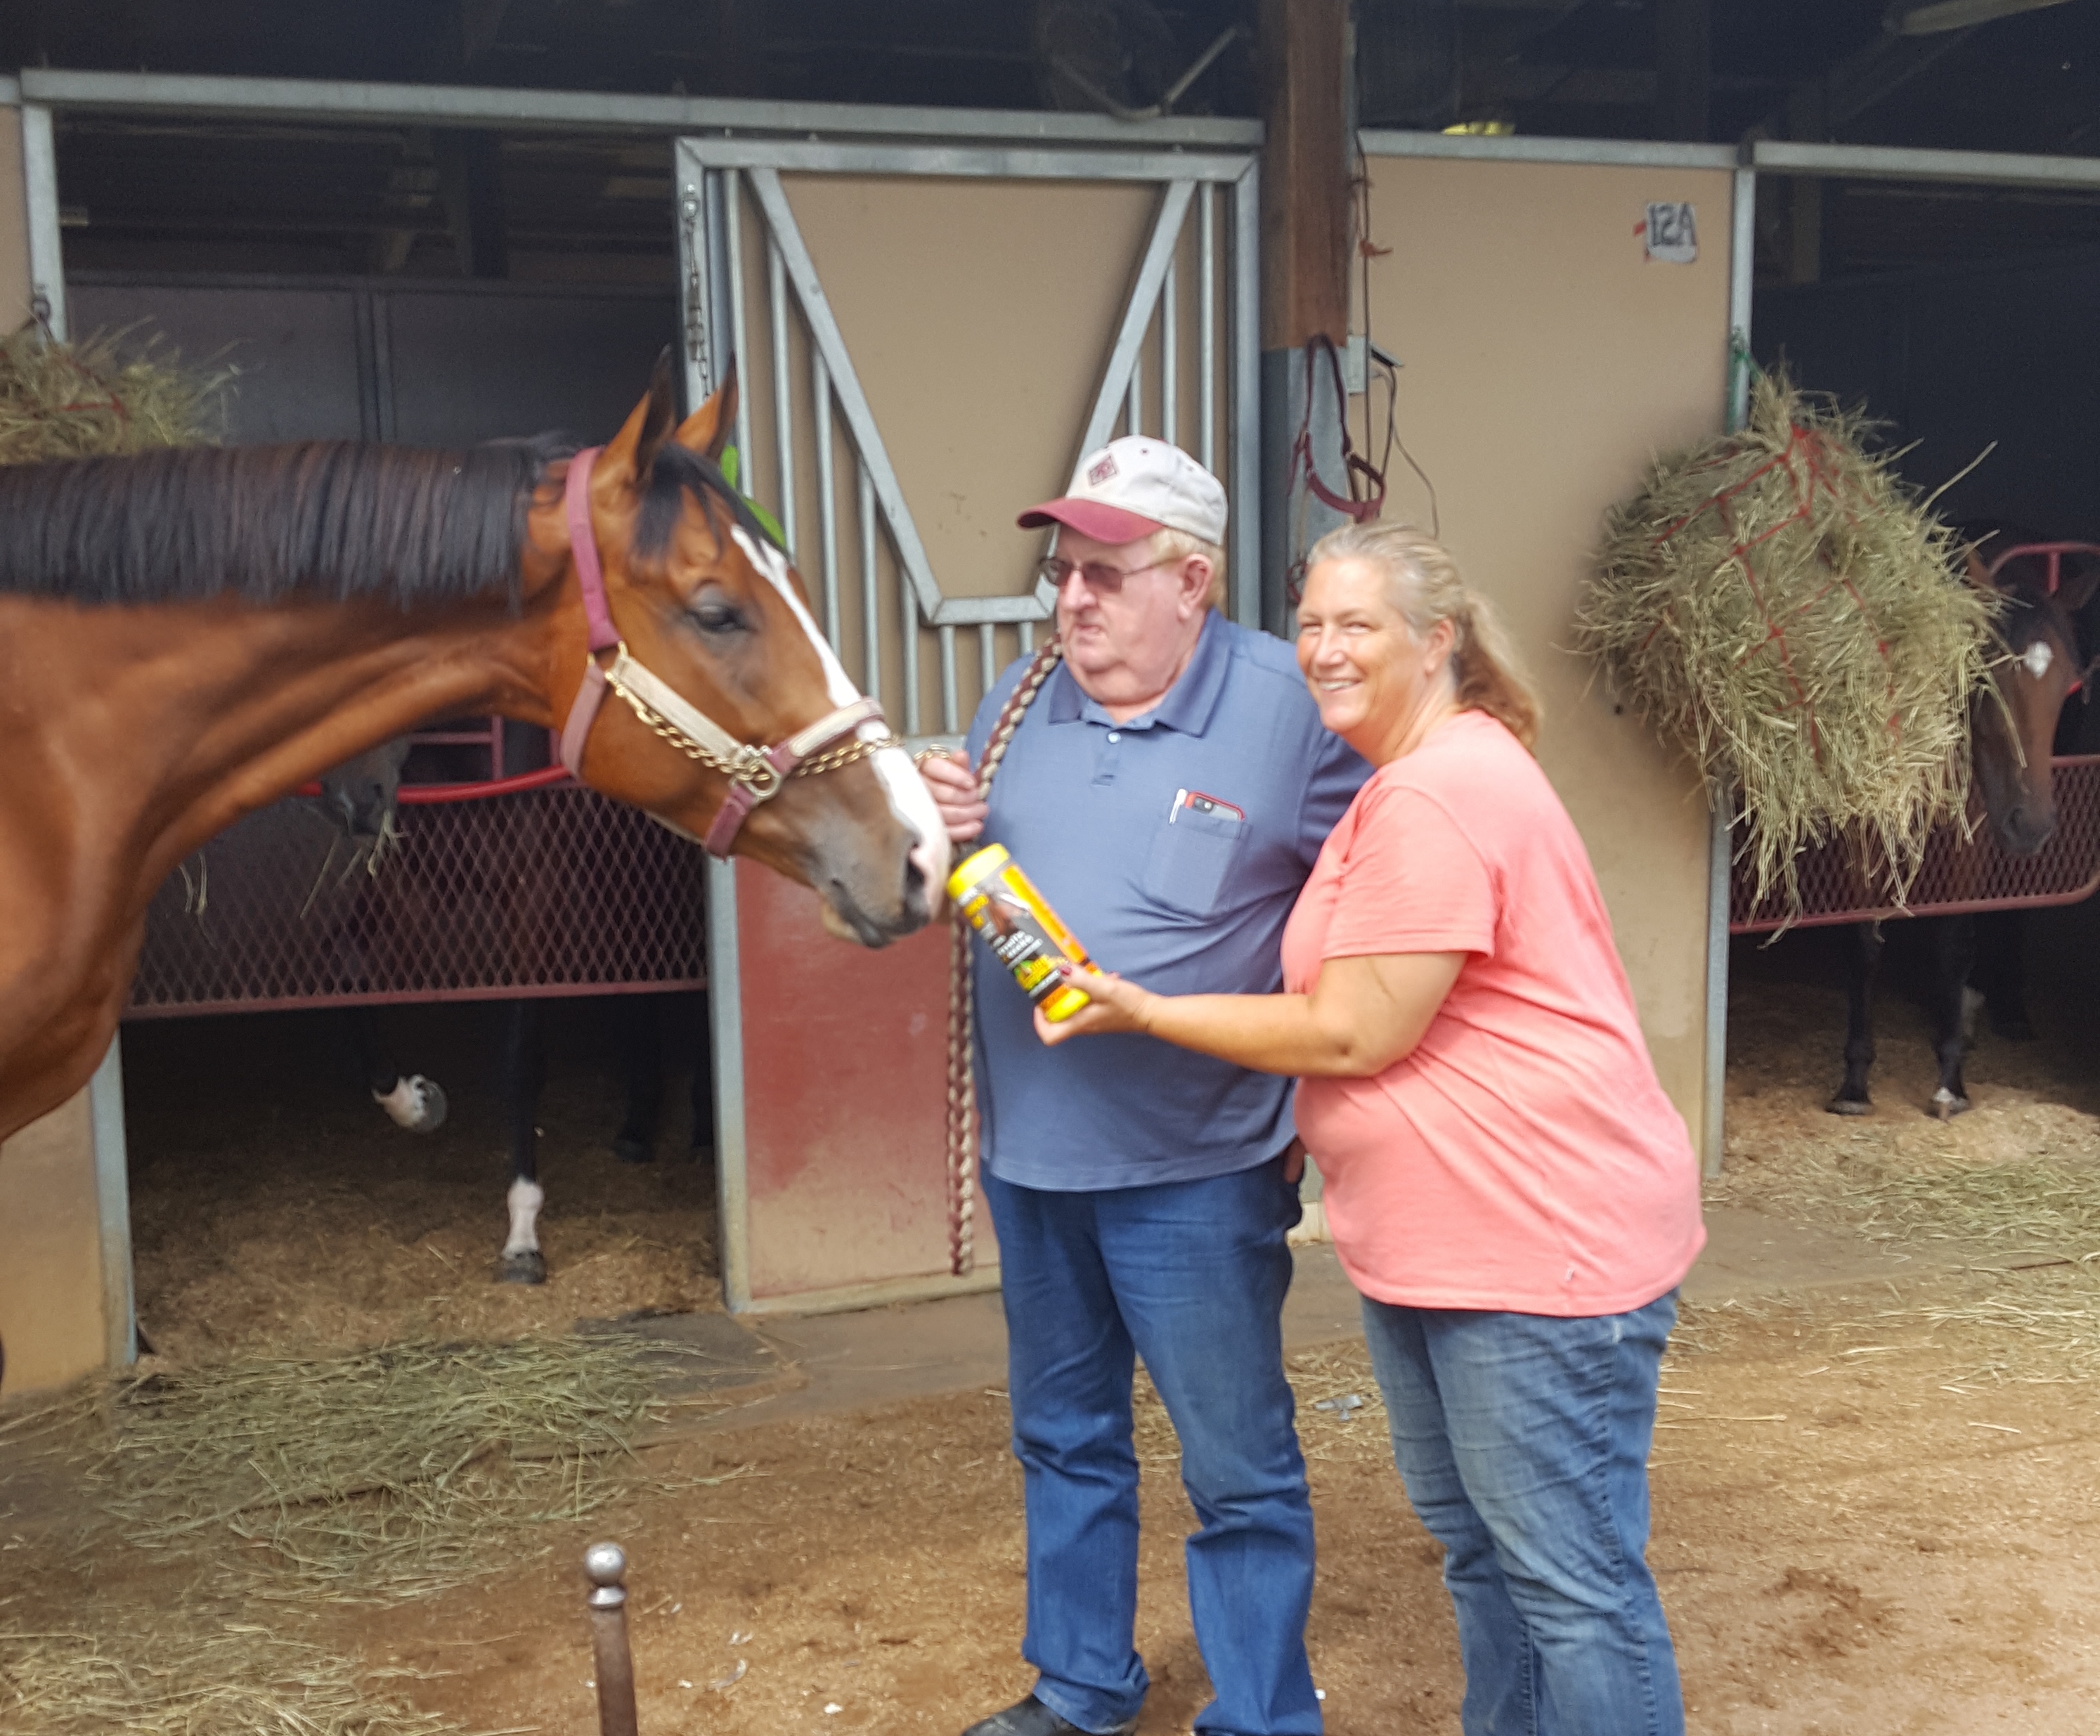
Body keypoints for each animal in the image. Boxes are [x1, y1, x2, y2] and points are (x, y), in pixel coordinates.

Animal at [0, 354, 949, 1155]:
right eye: (718, 612)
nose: (922, 850)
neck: (48, 760)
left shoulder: (533, 904)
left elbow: (523, 1044)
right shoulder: (403, 892)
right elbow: (349, 974)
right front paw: (412, 1098)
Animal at [1829, 526, 2099, 1119]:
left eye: (2069, 680)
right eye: (1986, 674)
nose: (2031, 825)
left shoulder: (1970, 833)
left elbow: (1955, 944)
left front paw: (1950, 1079)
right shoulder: (1866, 827)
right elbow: (1864, 944)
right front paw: (1854, 1082)